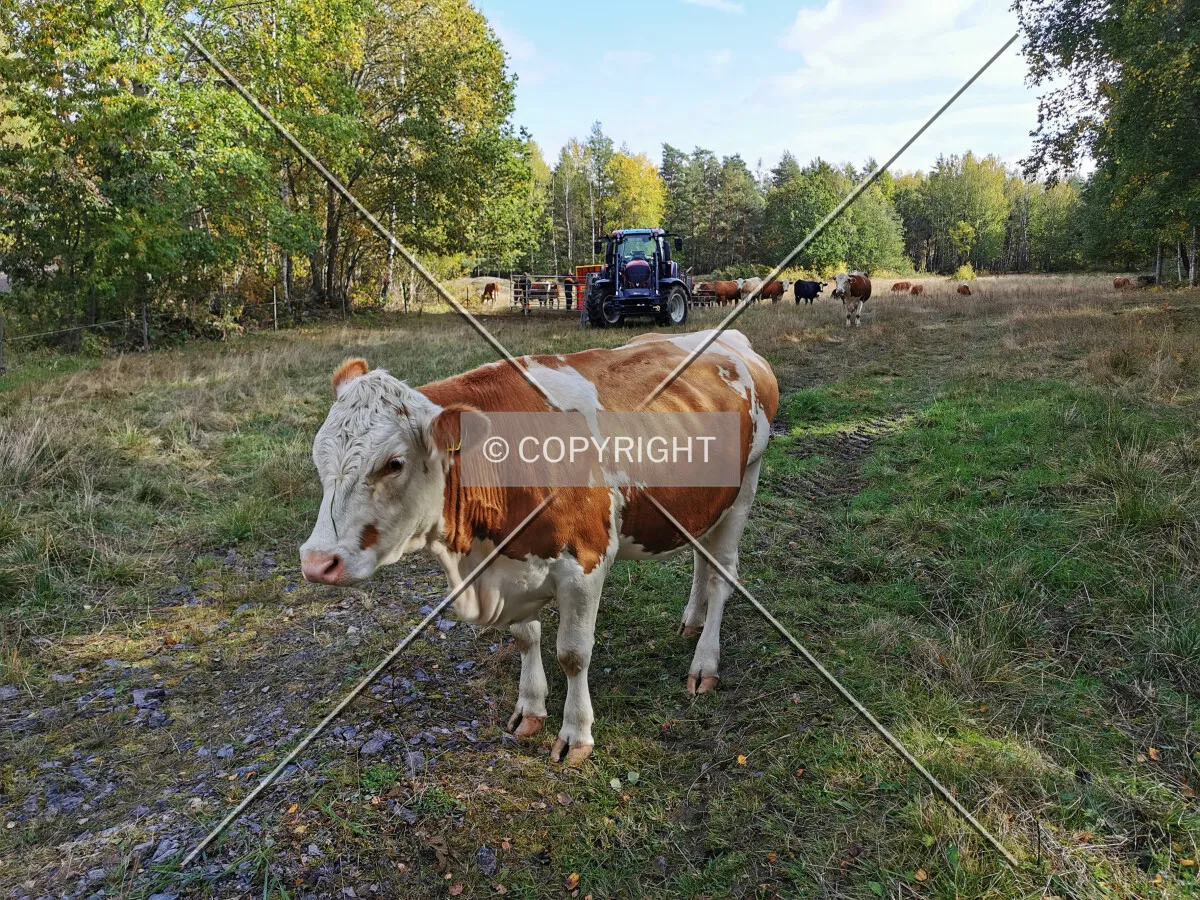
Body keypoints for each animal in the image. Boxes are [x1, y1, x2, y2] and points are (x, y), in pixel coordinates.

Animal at [300, 332, 779, 765]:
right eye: (318, 455)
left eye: (393, 463)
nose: (317, 562)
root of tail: (732, 340)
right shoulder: (509, 564)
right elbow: (525, 637)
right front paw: (529, 709)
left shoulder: (585, 564)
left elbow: (573, 654)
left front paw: (576, 734)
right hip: (703, 504)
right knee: (702, 558)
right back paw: (691, 621)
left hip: (745, 487)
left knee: (721, 576)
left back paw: (704, 664)